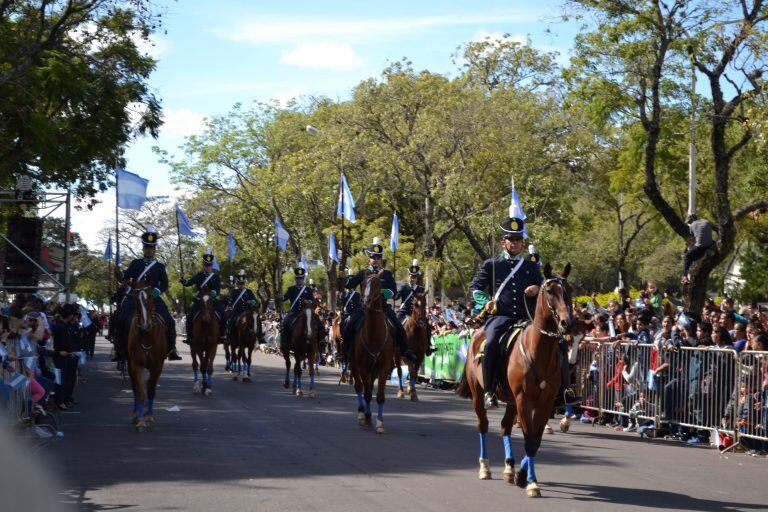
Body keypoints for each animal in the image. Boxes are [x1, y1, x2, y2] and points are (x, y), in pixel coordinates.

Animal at [126, 276, 166, 432]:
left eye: (150, 297)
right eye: (134, 298)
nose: (145, 325)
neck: (147, 336)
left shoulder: (157, 365)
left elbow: (150, 389)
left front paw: (149, 417)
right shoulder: (136, 364)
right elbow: (141, 392)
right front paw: (141, 420)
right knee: (135, 388)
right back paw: (136, 413)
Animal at [456, 264, 576, 496]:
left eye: (569, 290)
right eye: (550, 291)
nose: (567, 323)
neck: (537, 351)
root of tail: (476, 331)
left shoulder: (545, 402)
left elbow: (536, 441)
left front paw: (522, 474)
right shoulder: (523, 399)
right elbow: (529, 440)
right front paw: (531, 482)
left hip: (511, 400)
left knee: (505, 427)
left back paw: (509, 468)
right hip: (479, 394)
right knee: (483, 425)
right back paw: (485, 467)